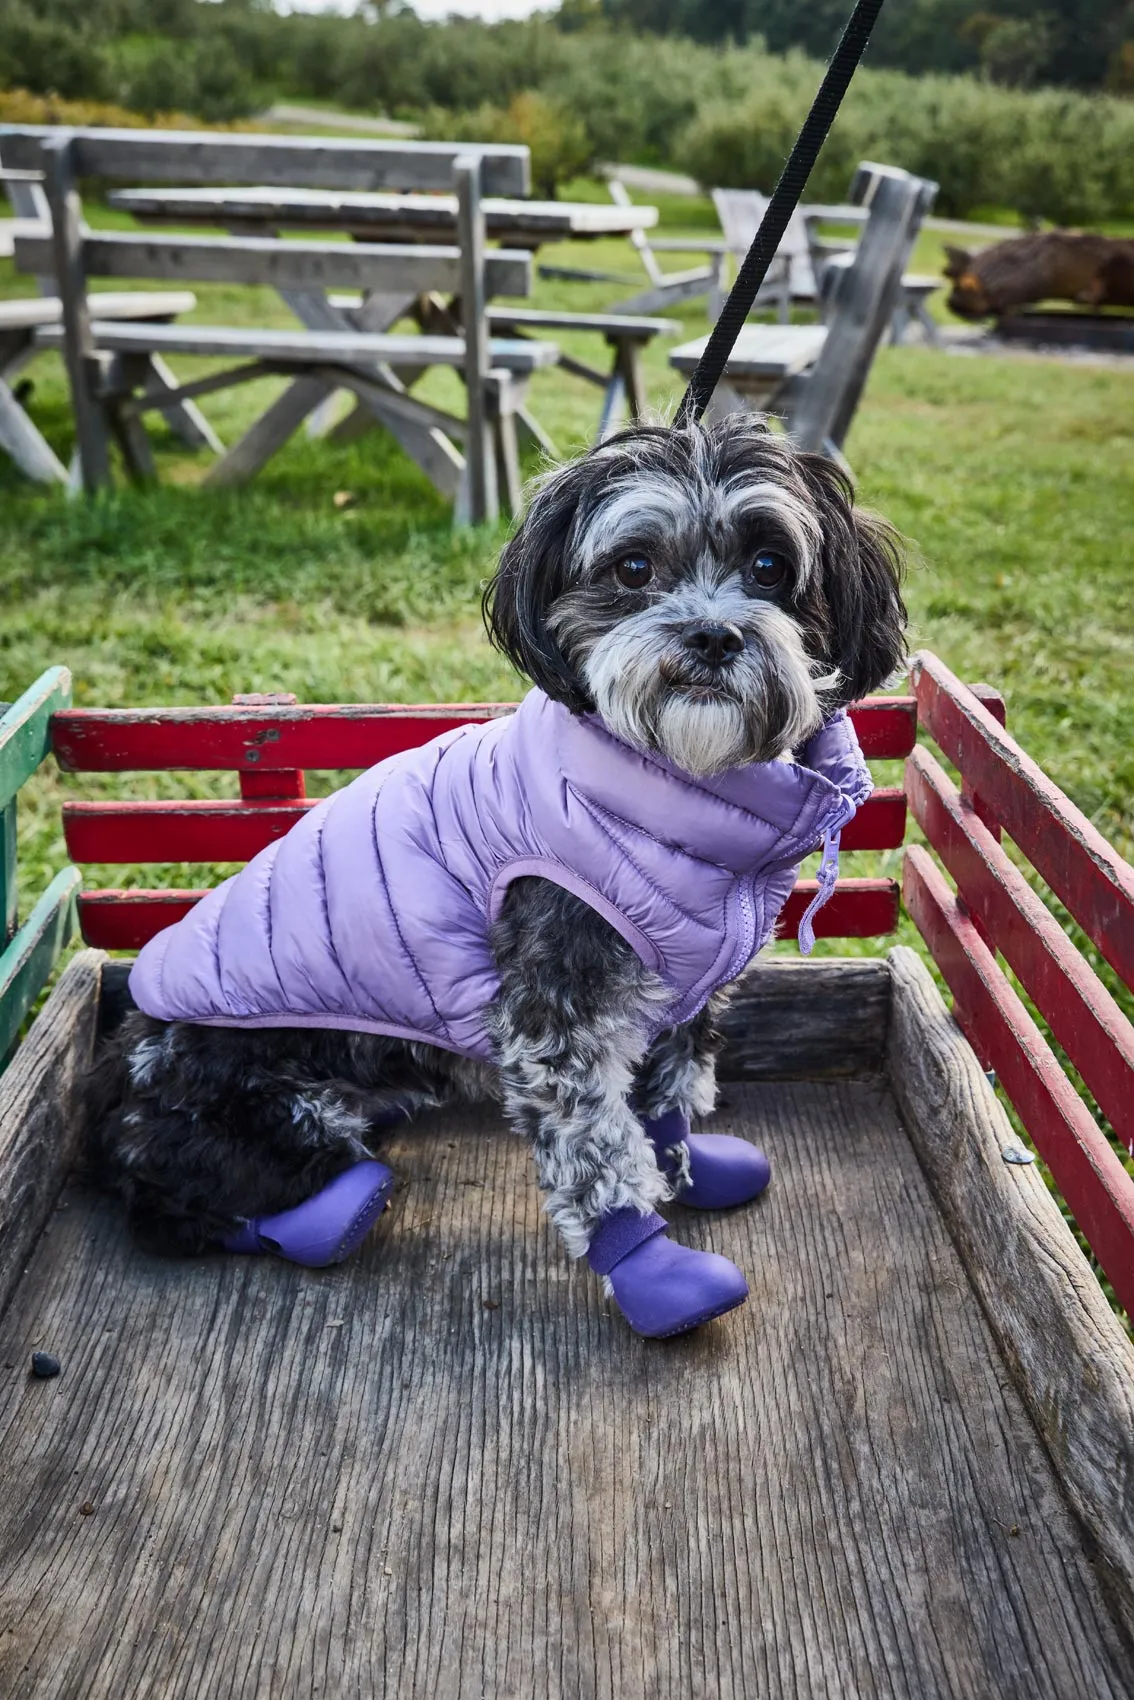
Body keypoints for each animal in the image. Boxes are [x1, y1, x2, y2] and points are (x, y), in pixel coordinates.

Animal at [86, 414, 904, 1339]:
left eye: (770, 566)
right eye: (633, 568)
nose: (713, 637)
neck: (673, 786)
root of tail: (112, 1082)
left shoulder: (686, 989)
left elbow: (670, 1088)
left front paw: (687, 1164)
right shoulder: (554, 1012)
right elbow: (595, 1145)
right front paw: (654, 1269)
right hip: (268, 1115)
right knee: (184, 1200)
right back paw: (332, 1212)